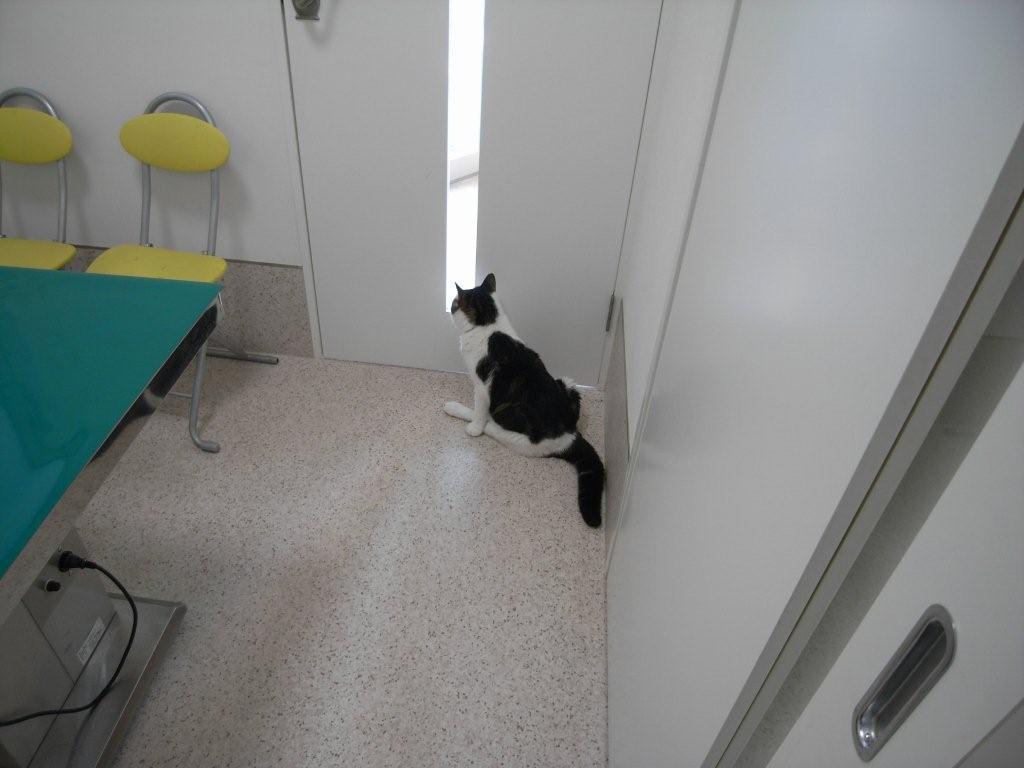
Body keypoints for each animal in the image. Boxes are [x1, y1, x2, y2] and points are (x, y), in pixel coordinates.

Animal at [443, 273, 605, 527]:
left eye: (454, 303)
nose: (450, 308)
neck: (489, 324)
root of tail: (571, 434)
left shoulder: (482, 387)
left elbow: (478, 412)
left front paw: (473, 427)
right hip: (568, 383)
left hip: (514, 429)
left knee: (490, 425)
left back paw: (458, 410)